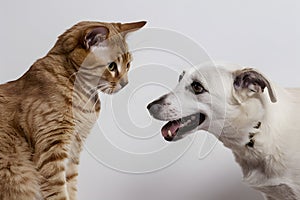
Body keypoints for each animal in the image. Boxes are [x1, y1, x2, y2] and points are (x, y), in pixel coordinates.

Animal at [0, 20, 146, 200]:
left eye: (128, 65)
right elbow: (59, 191)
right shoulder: (52, 151)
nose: (125, 83)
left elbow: (70, 185)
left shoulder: (73, 150)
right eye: (112, 66)